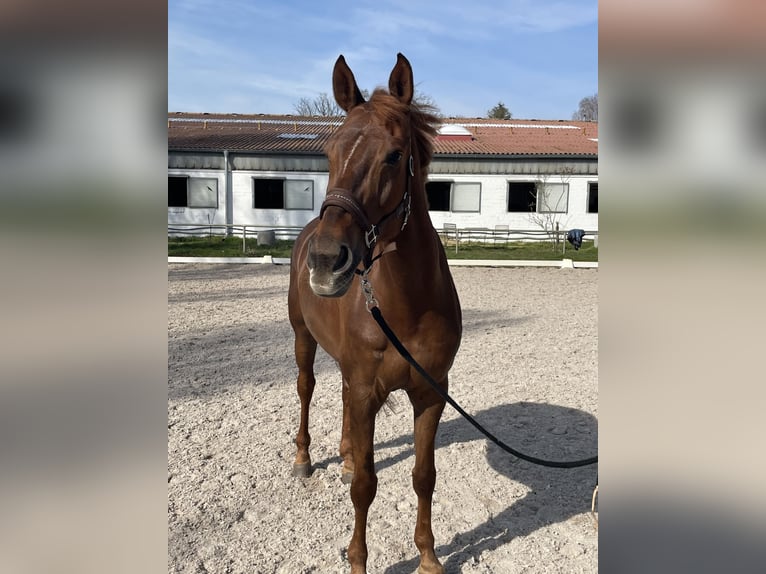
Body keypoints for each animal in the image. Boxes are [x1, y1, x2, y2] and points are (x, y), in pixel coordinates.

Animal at [288, 55, 462, 574]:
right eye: (330, 153)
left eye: (394, 155)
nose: (327, 261)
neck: (407, 306)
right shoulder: (367, 387)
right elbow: (367, 485)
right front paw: (358, 560)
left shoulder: (430, 392)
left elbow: (424, 475)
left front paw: (428, 555)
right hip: (303, 338)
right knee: (306, 389)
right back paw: (304, 459)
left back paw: (344, 458)